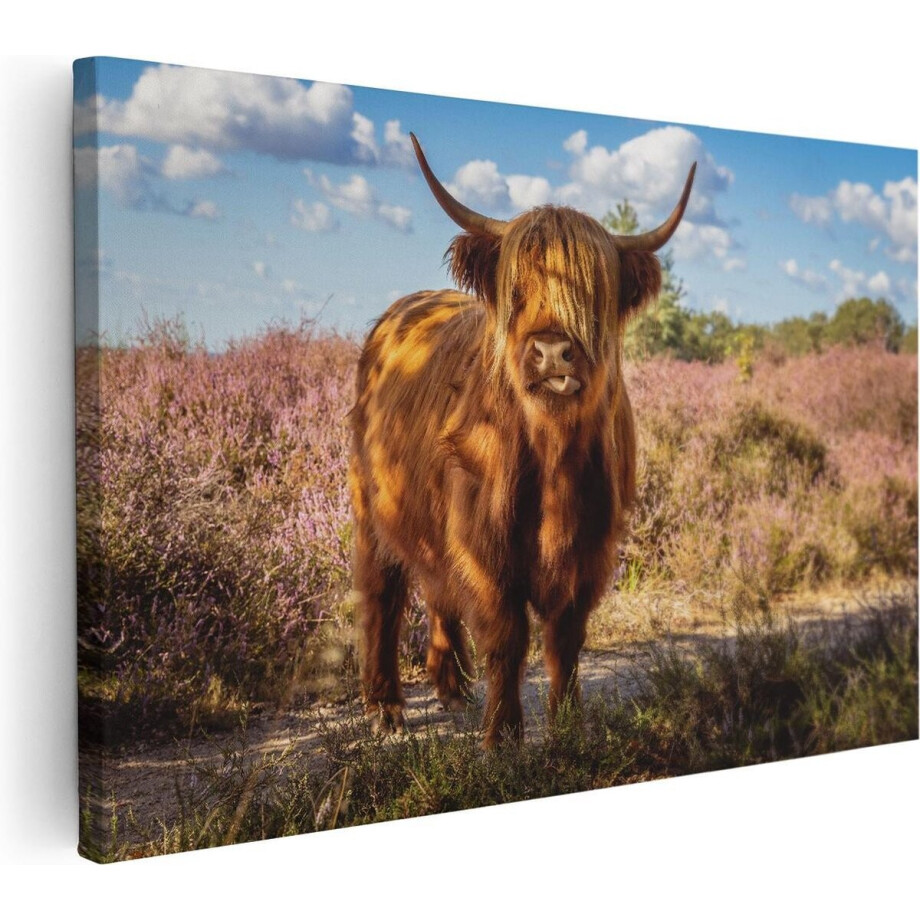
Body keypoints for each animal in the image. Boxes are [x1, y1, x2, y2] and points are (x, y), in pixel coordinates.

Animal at [349, 133, 695, 748]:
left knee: (437, 589)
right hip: (372, 507)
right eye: (518, 288)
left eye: (592, 290)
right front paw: (504, 736)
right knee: (381, 593)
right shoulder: (485, 546)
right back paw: (385, 707)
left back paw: (452, 689)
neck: (553, 458)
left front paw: (567, 724)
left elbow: (565, 639)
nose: (553, 351)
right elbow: (507, 638)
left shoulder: (591, 548)